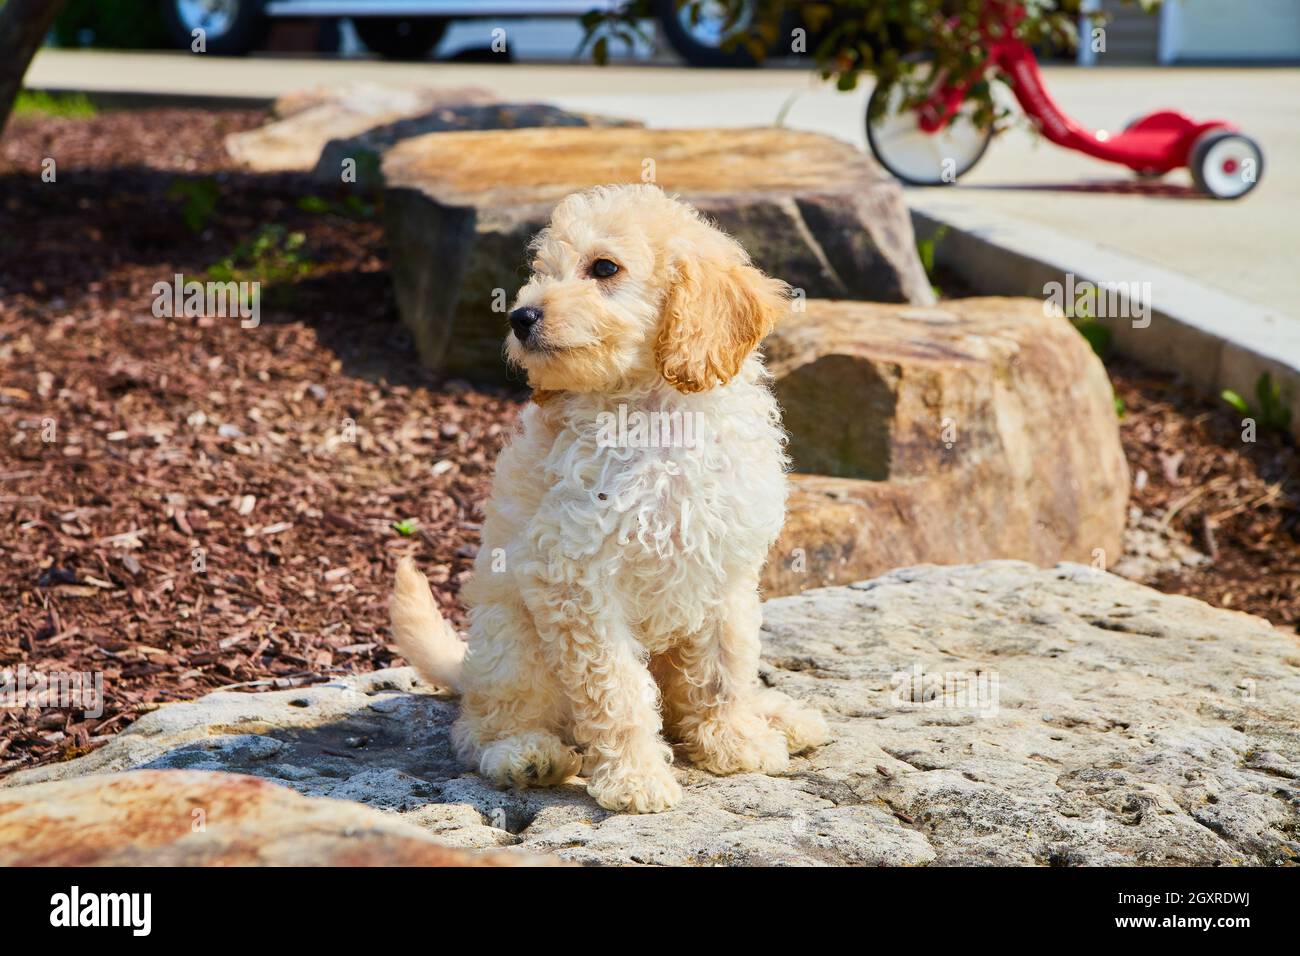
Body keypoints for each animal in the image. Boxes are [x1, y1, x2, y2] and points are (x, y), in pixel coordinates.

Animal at [390, 183, 826, 811]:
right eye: (542, 271)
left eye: (604, 268)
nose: (520, 317)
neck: (653, 416)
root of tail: (465, 670)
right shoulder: (575, 578)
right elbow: (617, 689)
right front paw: (636, 777)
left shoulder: (726, 571)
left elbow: (724, 669)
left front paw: (735, 741)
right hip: (508, 642)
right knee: (482, 726)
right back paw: (526, 754)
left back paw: (779, 718)